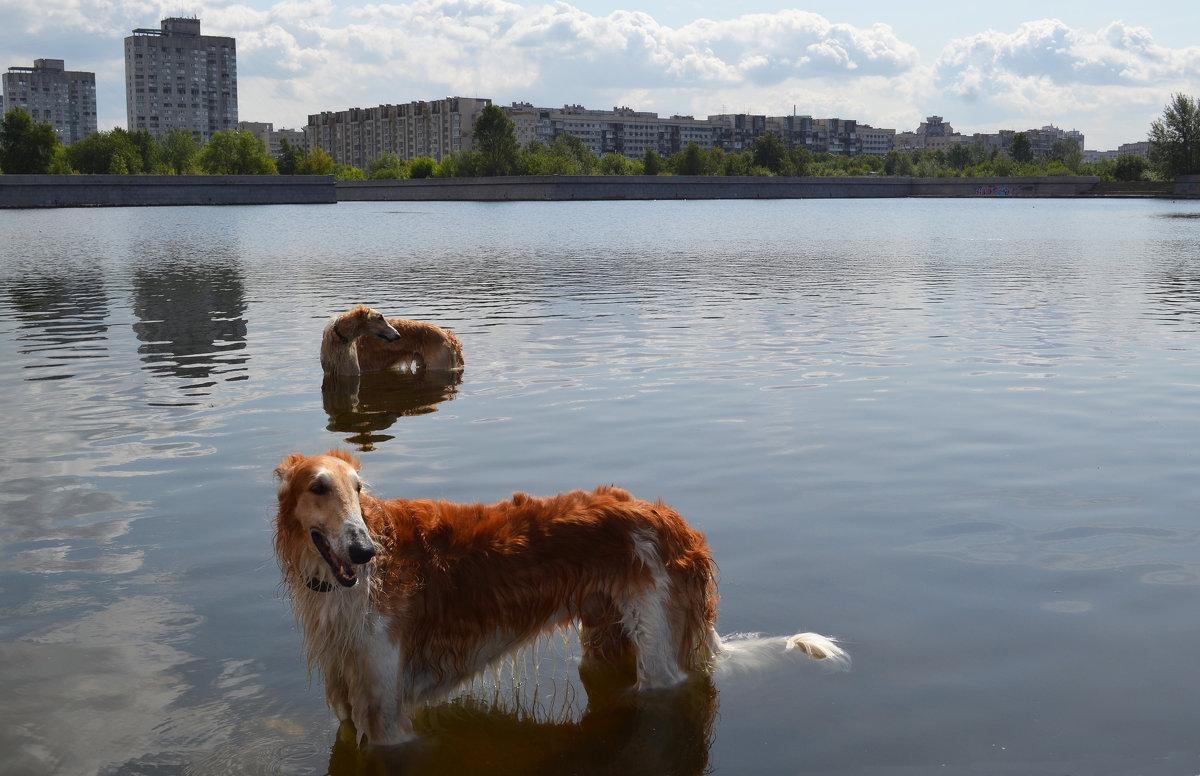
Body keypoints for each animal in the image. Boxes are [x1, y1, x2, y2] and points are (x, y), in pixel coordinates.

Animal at [274, 453, 849, 748]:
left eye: (359, 487)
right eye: (318, 487)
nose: (363, 550)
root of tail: (674, 522)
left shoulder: (388, 719)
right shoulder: (351, 707)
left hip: (656, 655)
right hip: (604, 638)